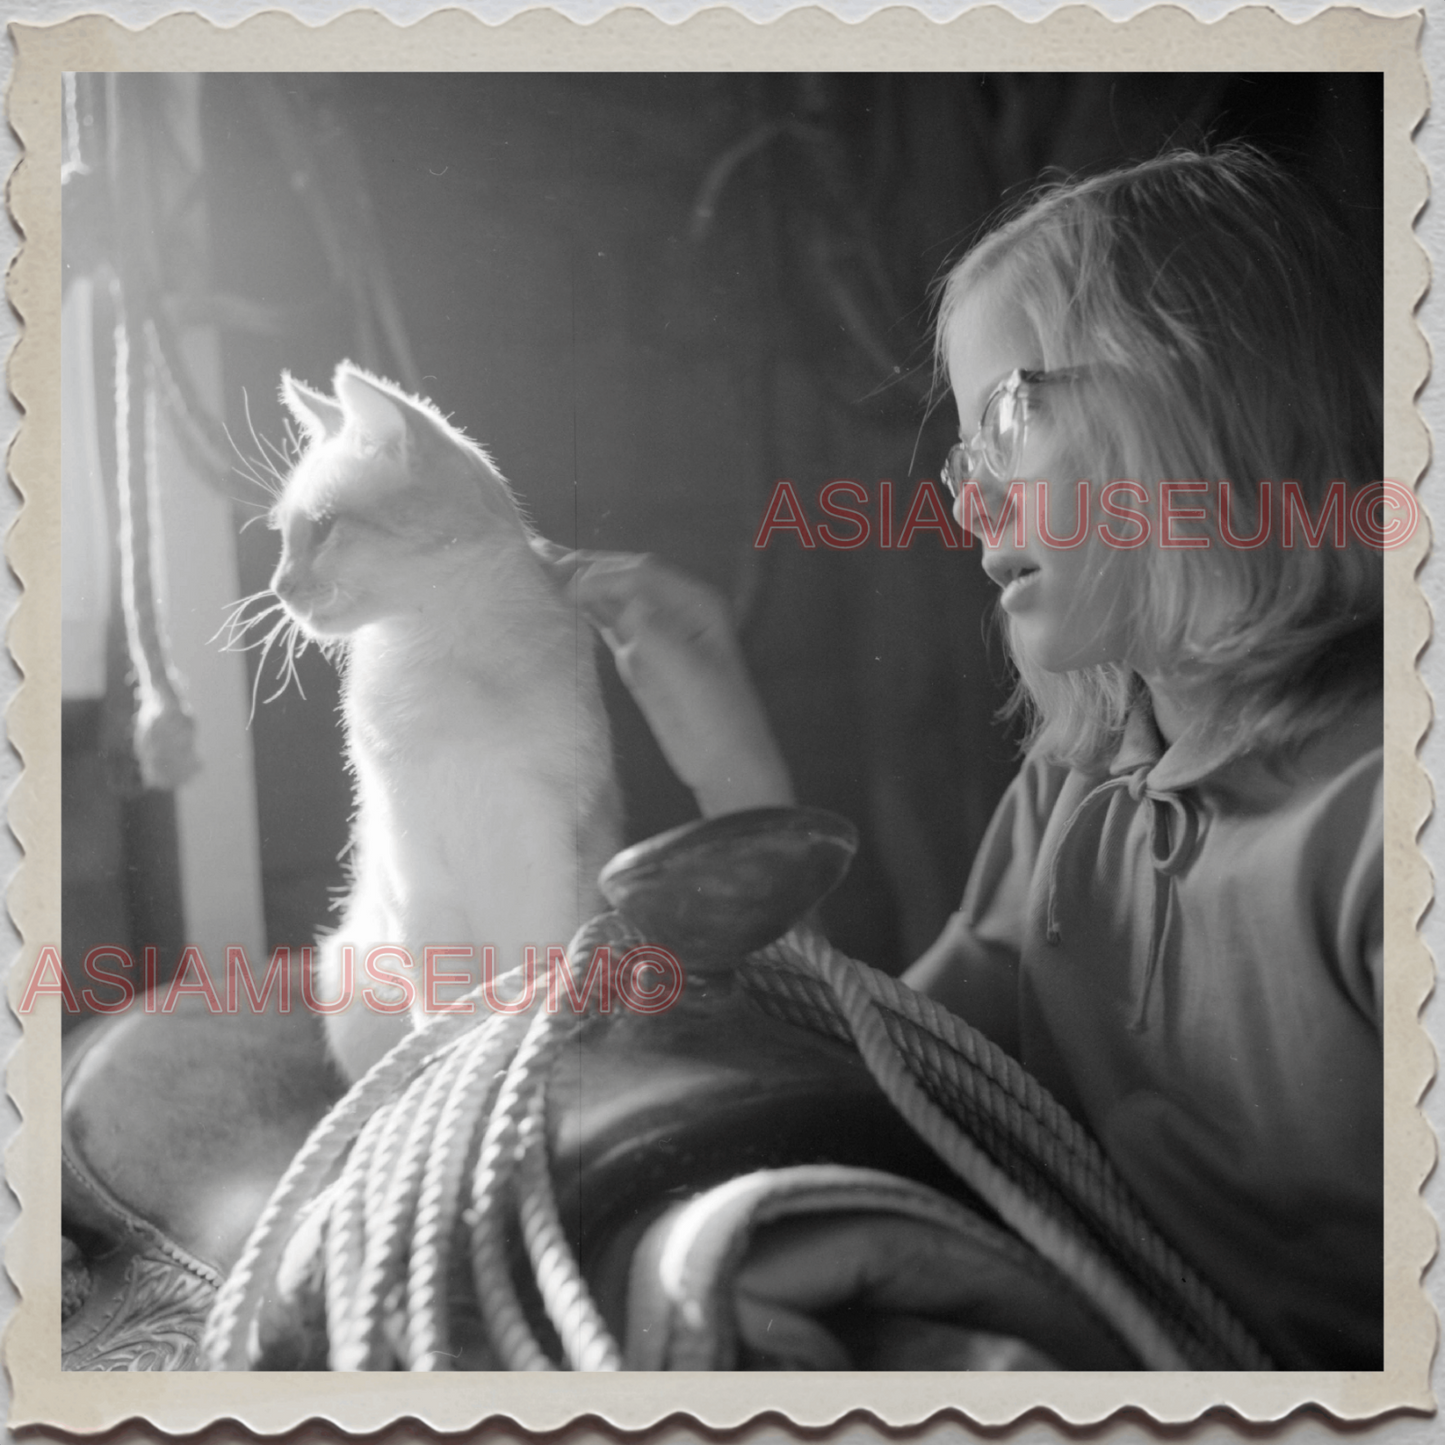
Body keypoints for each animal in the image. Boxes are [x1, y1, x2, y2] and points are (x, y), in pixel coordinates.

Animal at [268, 367, 618, 1080]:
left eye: (324, 529)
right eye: (284, 535)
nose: (277, 589)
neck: (437, 655)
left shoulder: (547, 844)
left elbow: (532, 978)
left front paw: (514, 1047)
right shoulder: (413, 860)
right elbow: (443, 1007)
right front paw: (446, 1062)